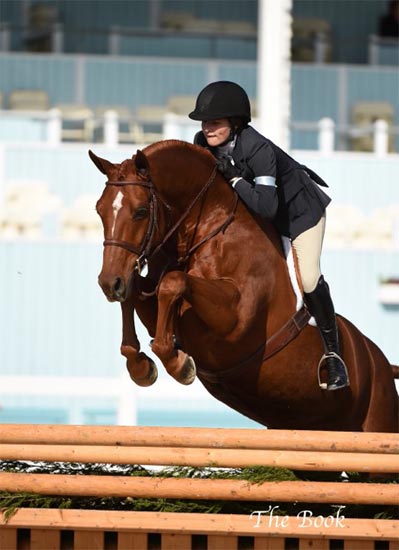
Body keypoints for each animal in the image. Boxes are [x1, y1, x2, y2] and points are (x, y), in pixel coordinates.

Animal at [90, 140, 399, 434]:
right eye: (99, 210)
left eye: (141, 211)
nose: (109, 283)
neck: (209, 230)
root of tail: (381, 363)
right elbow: (137, 293)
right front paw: (140, 366)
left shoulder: (236, 321)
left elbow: (173, 283)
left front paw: (178, 365)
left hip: (378, 420)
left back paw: (336, 372)